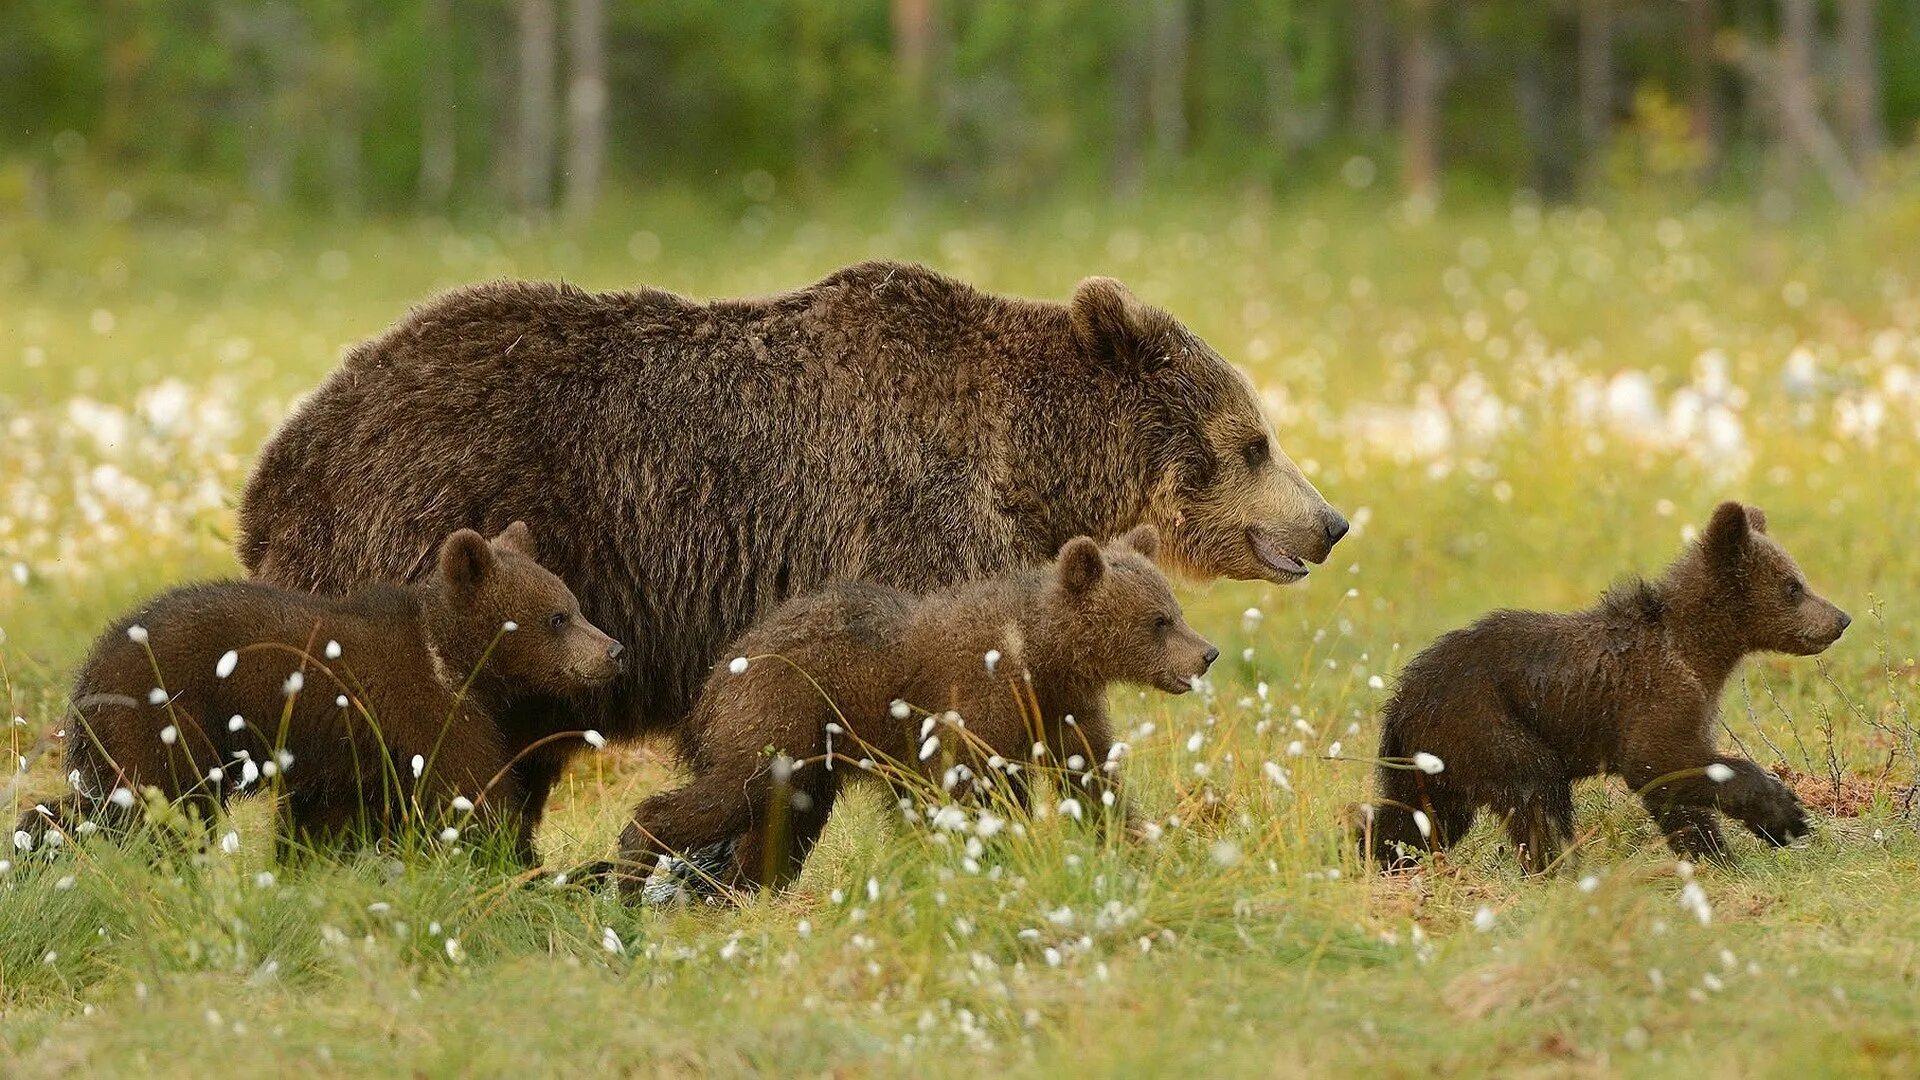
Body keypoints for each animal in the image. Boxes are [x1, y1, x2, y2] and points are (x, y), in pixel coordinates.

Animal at [13, 522, 622, 857]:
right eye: (557, 617)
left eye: (575, 605)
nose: (614, 651)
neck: (455, 659)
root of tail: (88, 673)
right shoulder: (424, 711)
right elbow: (474, 795)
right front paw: (514, 858)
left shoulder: (346, 757)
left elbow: (326, 823)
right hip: (167, 716)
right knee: (158, 804)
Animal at [236, 255, 1351, 853]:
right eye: (1255, 438)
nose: (1330, 522)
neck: (1030, 464)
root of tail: (280, 461)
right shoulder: (908, 523)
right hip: (430, 537)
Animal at [618, 526, 1213, 891]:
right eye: (1158, 620)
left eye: (1175, 609)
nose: (1207, 653)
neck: (1041, 657)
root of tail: (721, 669)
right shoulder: (973, 701)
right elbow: (962, 790)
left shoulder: (1063, 708)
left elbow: (1093, 779)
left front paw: (1141, 852)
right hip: (780, 711)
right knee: (735, 789)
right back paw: (633, 869)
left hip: (809, 755)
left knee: (781, 822)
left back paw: (745, 890)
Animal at [1359, 499, 1850, 868]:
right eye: (1793, 586)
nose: (1840, 618)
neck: (1699, 650)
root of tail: (1401, 699)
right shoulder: (1655, 694)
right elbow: (1661, 762)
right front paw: (1784, 814)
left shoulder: (1690, 702)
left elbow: (1677, 794)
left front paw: (1714, 854)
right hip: (1483, 719)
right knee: (1535, 789)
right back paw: (1557, 867)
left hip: (1434, 757)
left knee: (1420, 818)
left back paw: (1372, 854)